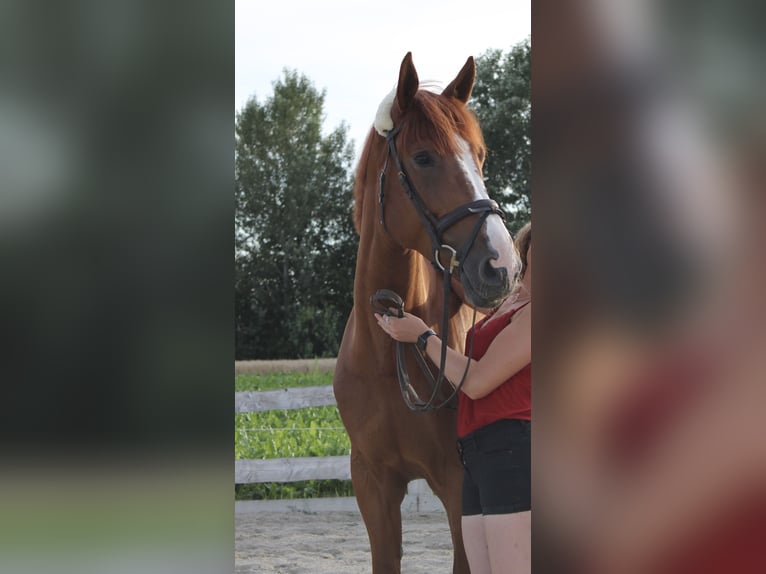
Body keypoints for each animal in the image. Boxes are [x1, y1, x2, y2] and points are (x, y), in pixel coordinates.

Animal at [333, 52, 520, 574]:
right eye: (422, 158)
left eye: (480, 156)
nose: (501, 265)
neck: (387, 354)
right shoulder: (373, 484)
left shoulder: (458, 486)